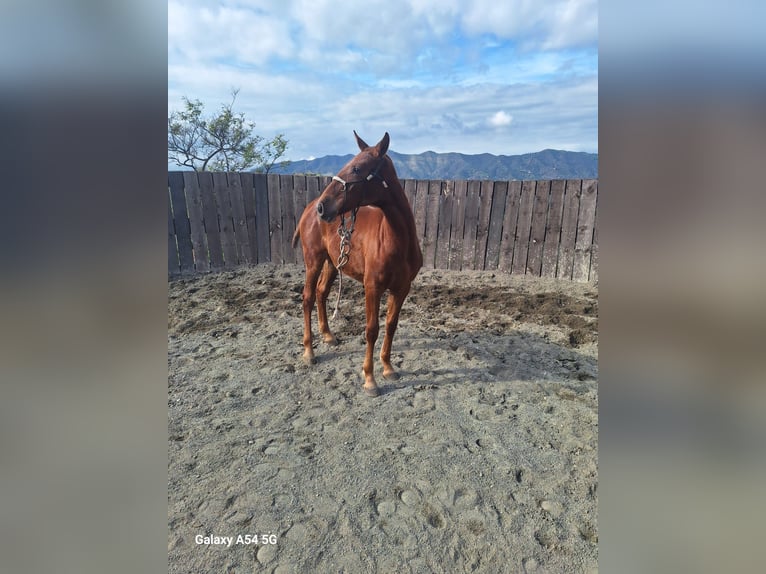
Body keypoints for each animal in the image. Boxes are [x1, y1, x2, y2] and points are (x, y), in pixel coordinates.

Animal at [294, 133, 426, 398]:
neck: (396, 240)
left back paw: (328, 336)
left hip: (332, 263)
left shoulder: (402, 288)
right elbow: (371, 329)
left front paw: (388, 368)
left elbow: (391, 326)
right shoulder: (372, 286)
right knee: (307, 298)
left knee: (321, 293)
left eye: (356, 168)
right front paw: (370, 379)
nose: (323, 207)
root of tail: (307, 209)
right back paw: (309, 352)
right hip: (314, 261)